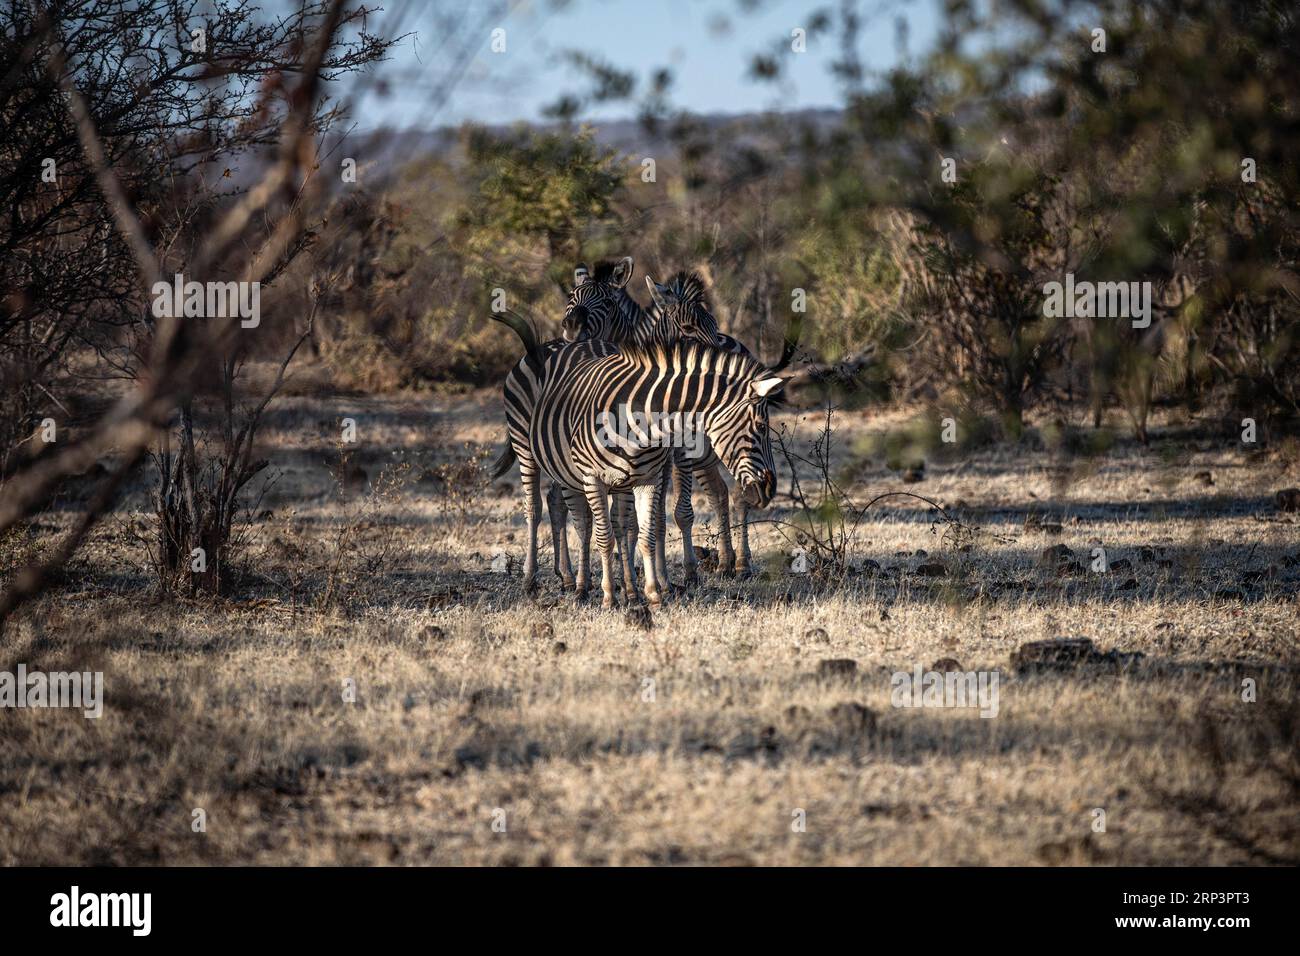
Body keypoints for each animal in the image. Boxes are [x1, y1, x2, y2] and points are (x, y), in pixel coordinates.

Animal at [525, 335, 780, 606]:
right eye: (762, 427)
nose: (770, 488)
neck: (639, 416)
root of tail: (577, 343)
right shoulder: (594, 478)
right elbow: (604, 539)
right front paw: (609, 597)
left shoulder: (647, 478)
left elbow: (646, 535)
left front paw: (653, 593)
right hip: (552, 466)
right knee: (575, 522)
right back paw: (573, 586)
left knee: (610, 523)